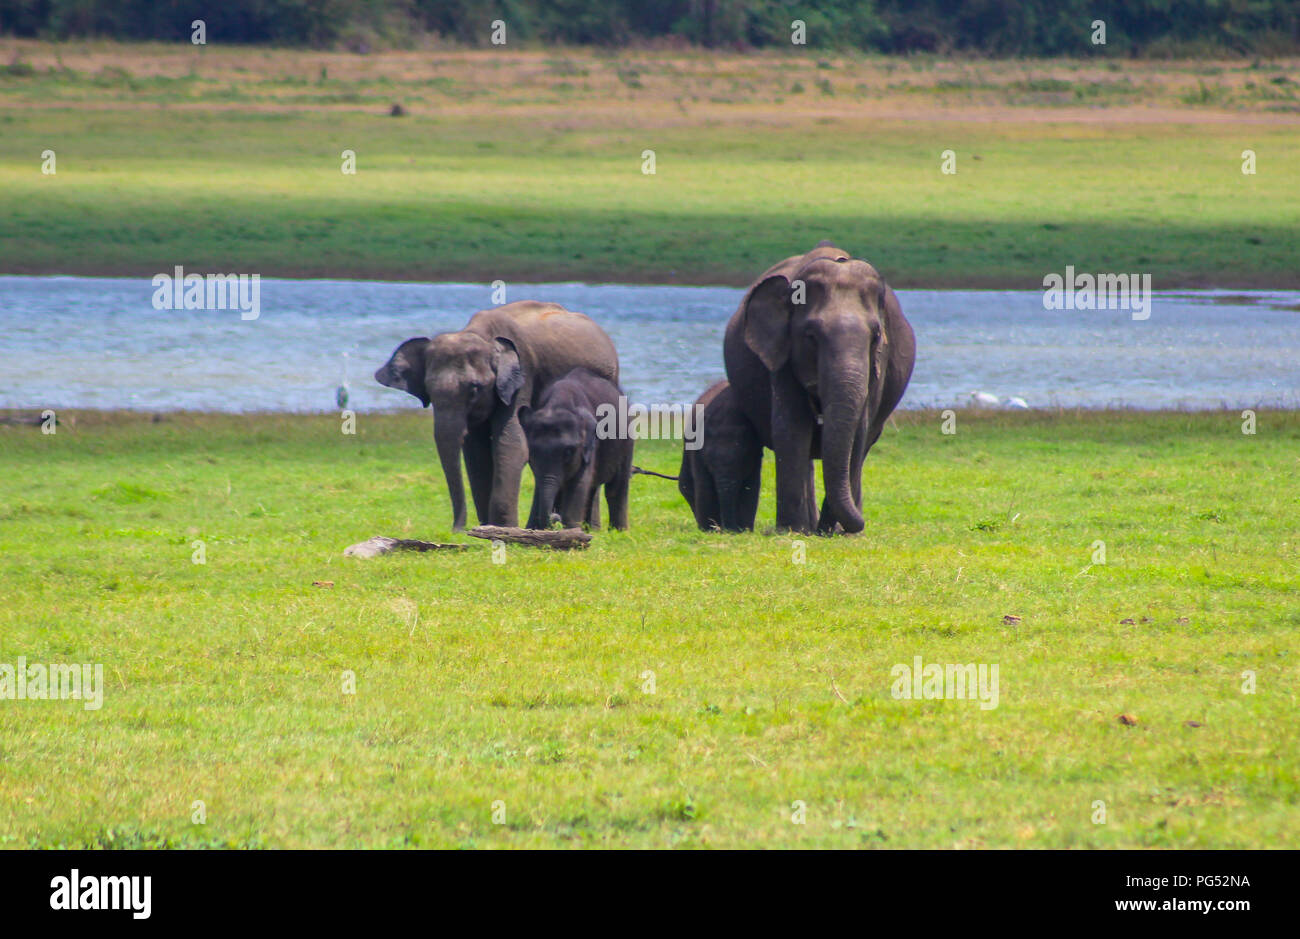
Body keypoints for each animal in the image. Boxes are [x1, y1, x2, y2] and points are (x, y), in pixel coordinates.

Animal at [377, 301, 618, 530]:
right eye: (429, 391)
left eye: (474, 389)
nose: (457, 529)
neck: (480, 335)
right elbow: (476, 453)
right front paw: (487, 527)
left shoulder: (521, 379)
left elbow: (511, 444)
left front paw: (503, 528)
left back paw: (586, 528)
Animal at [522, 366, 634, 530]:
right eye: (532, 454)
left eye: (568, 452)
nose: (555, 515)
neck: (557, 404)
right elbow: (540, 484)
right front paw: (533, 529)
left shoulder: (590, 446)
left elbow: (578, 483)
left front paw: (571, 530)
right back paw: (589, 529)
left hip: (627, 442)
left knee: (616, 487)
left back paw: (618, 531)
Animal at [681, 377, 759, 530]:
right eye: (710, 465)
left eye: (742, 463)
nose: (731, 530)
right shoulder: (697, 450)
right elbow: (704, 484)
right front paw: (709, 530)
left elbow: (750, 486)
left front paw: (745, 529)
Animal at [722, 241, 915, 533]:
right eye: (810, 336)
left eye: (876, 336)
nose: (860, 524)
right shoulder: (782, 357)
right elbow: (791, 426)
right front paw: (792, 530)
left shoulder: (878, 365)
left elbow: (859, 431)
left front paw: (834, 531)